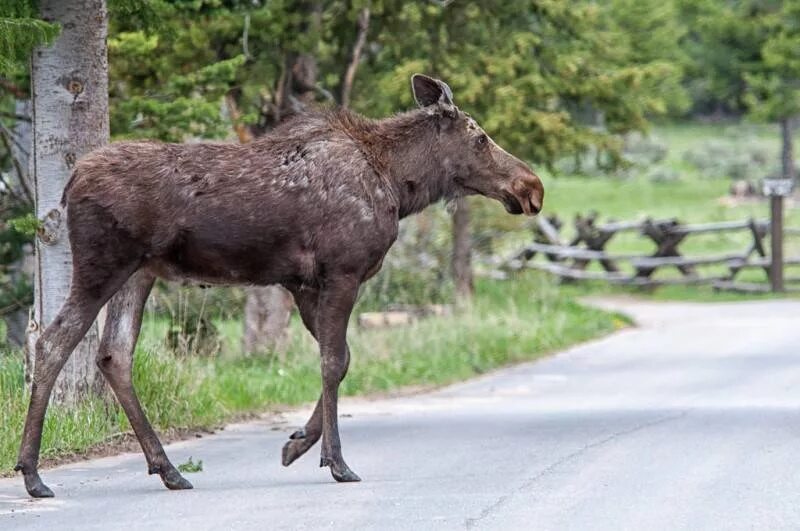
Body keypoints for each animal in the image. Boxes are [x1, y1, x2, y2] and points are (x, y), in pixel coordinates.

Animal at [17, 75, 544, 498]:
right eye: (480, 136)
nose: (532, 187)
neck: (398, 182)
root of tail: (69, 182)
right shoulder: (342, 272)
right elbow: (332, 362)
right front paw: (336, 461)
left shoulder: (302, 283)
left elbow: (343, 359)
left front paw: (297, 443)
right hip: (103, 265)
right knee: (53, 340)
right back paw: (33, 474)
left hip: (141, 273)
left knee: (114, 353)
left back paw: (168, 469)